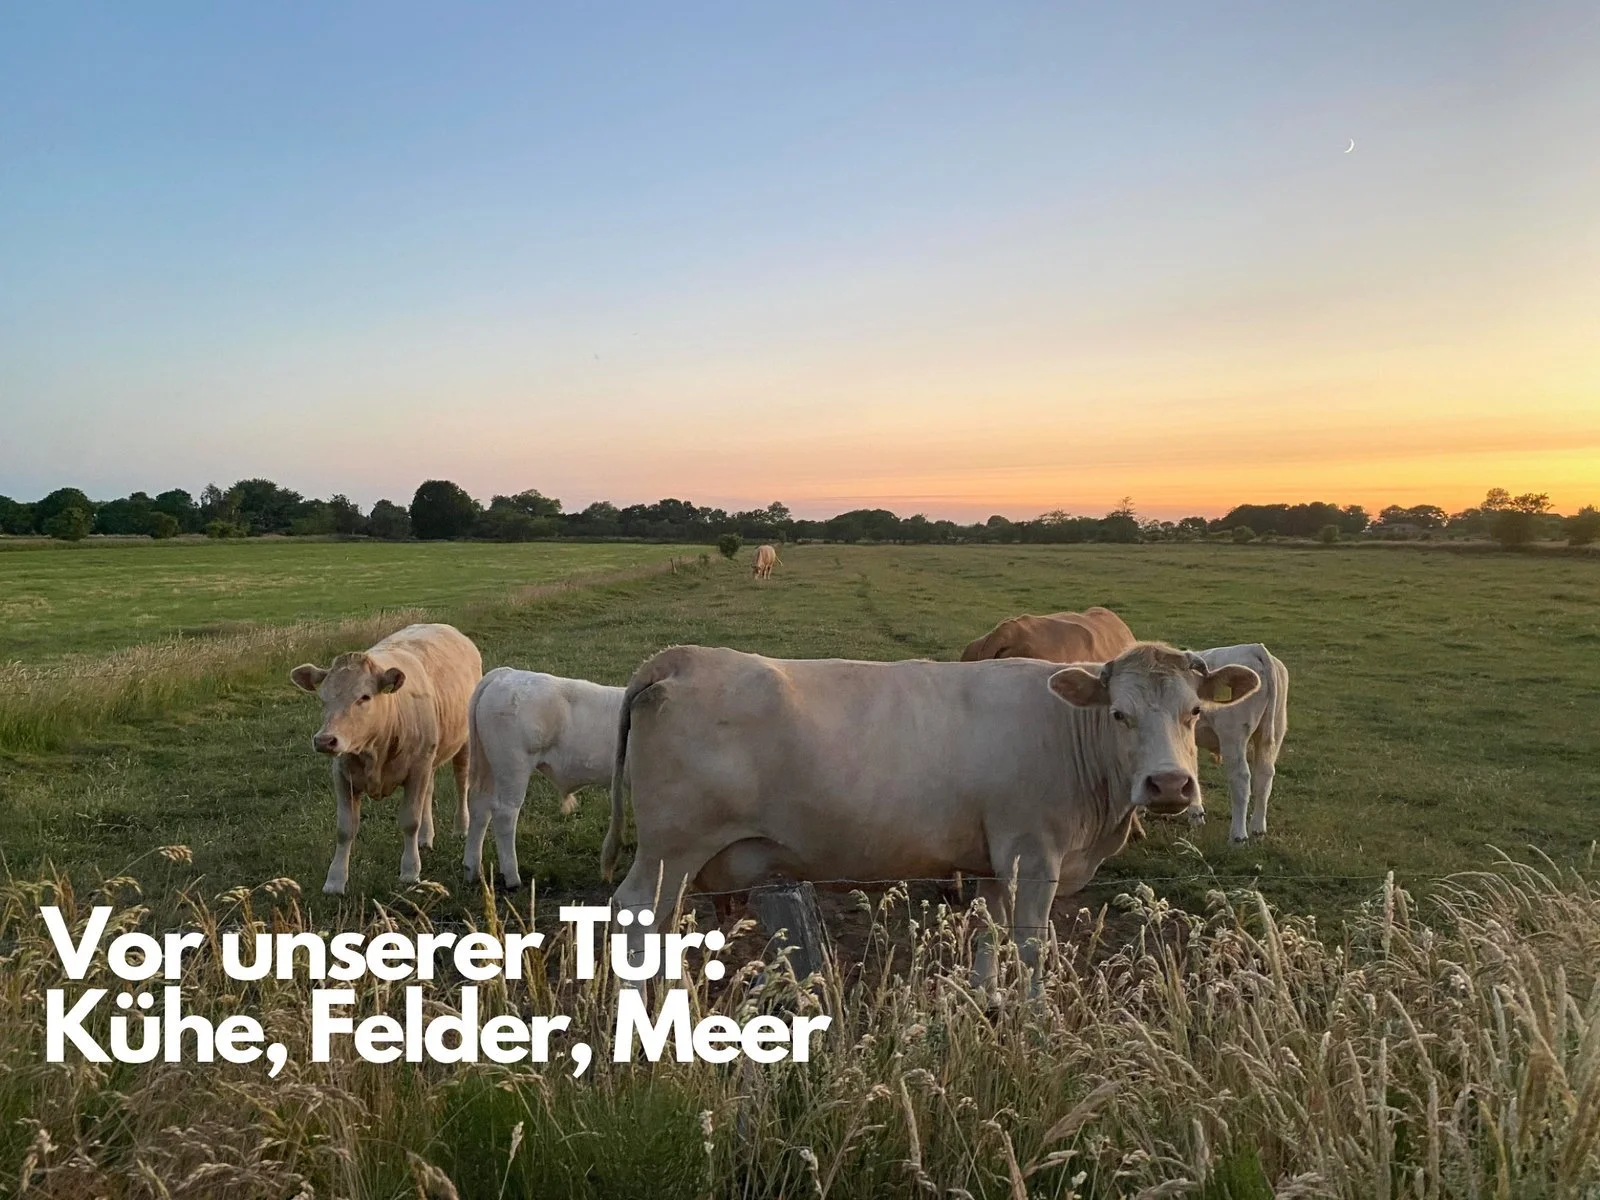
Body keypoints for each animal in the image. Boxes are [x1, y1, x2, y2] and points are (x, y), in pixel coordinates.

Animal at [290, 623, 482, 895]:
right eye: (323, 698)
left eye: (364, 697)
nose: (325, 740)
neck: (373, 751)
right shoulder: (343, 776)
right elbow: (344, 829)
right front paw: (335, 880)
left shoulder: (416, 771)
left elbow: (410, 821)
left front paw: (410, 871)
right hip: (429, 758)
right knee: (429, 791)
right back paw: (425, 837)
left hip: (463, 743)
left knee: (461, 781)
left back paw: (461, 827)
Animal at [462, 666, 626, 890]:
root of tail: (506, 674)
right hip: (513, 766)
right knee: (505, 813)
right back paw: (512, 878)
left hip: (489, 767)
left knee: (480, 807)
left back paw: (472, 870)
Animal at [601, 641, 1260, 988]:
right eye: (1120, 714)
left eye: (1195, 712)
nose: (1169, 784)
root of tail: (683, 657)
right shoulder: (1034, 851)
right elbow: (1031, 944)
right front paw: (1036, 1022)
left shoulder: (995, 859)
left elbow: (991, 931)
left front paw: (987, 1001)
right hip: (670, 848)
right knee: (636, 912)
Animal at [1190, 644, 1289, 844]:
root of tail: (1253, 648)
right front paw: (1196, 815)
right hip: (1275, 729)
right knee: (1265, 776)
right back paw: (1258, 830)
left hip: (1233, 735)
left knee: (1241, 779)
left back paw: (1238, 837)